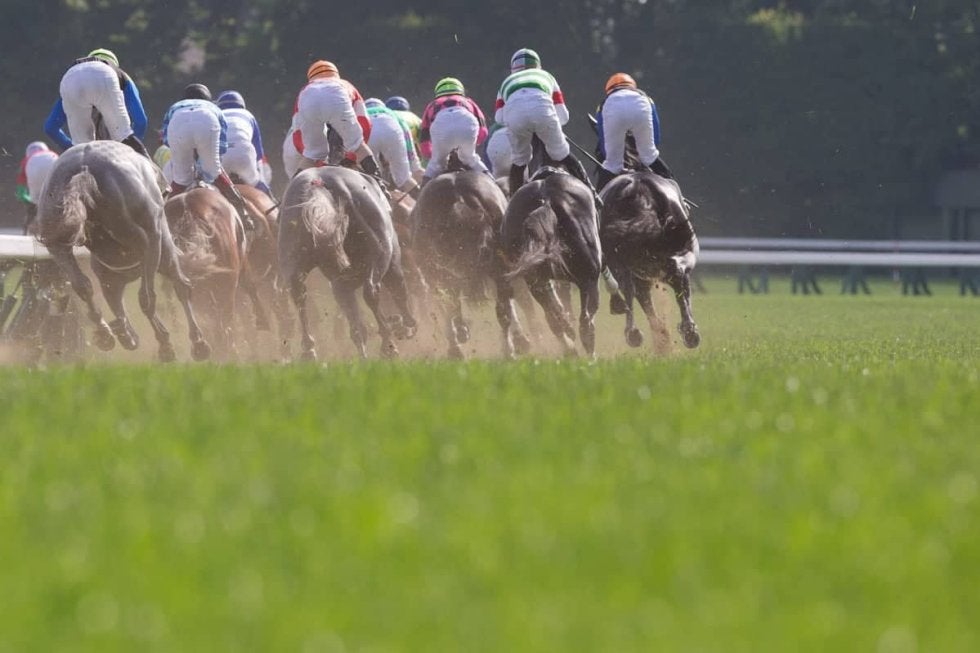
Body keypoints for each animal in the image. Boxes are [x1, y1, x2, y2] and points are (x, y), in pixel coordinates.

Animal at [37, 140, 211, 361]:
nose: (168, 187)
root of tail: (84, 169)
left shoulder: (111, 274)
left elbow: (116, 299)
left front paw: (125, 333)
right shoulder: (154, 243)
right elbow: (165, 290)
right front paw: (183, 343)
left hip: (56, 242)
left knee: (83, 286)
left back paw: (107, 333)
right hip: (151, 241)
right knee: (159, 292)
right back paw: (179, 343)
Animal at [278, 165, 417, 360]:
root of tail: (318, 185)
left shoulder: (341, 285)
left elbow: (356, 325)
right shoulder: (393, 262)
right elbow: (399, 291)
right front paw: (405, 325)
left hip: (294, 263)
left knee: (299, 294)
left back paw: (309, 350)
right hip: (382, 255)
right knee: (372, 291)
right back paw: (389, 342)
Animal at [410, 161, 532, 359]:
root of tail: (459, 196)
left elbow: (448, 307)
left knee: (453, 305)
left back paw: (459, 347)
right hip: (497, 269)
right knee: (503, 310)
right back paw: (508, 350)